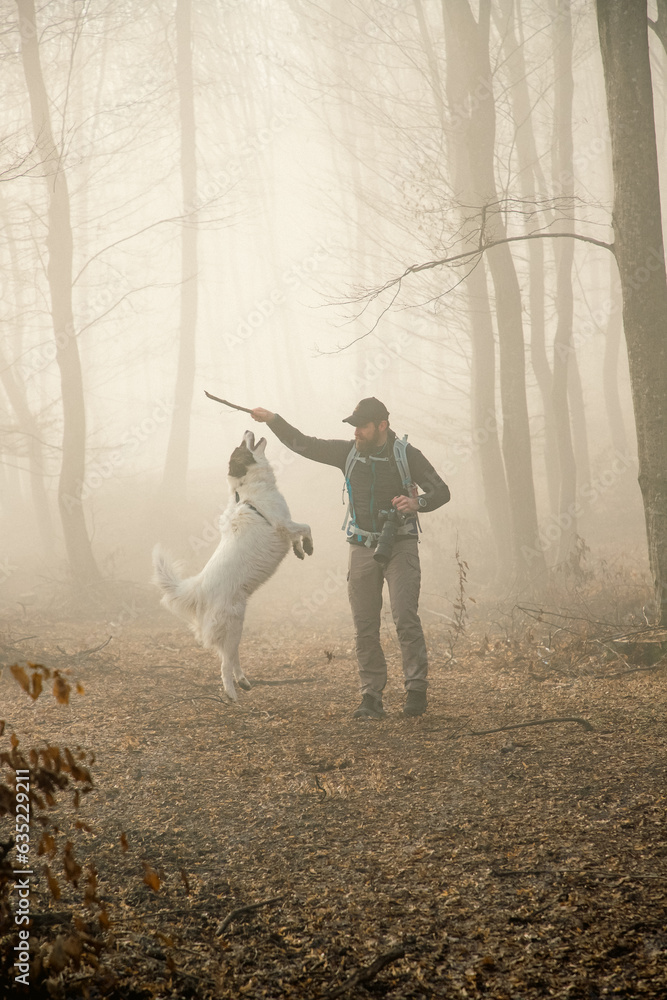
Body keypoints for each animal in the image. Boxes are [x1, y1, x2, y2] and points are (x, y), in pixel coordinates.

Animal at [153, 434, 314, 700]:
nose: (248, 429)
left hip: (235, 626)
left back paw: (243, 681)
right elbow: (306, 528)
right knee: (224, 663)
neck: (247, 490)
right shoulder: (283, 524)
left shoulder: (286, 527)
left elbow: (297, 536)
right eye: (241, 447)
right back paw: (230, 692)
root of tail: (198, 588)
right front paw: (308, 546)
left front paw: (300, 550)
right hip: (232, 622)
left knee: (230, 653)